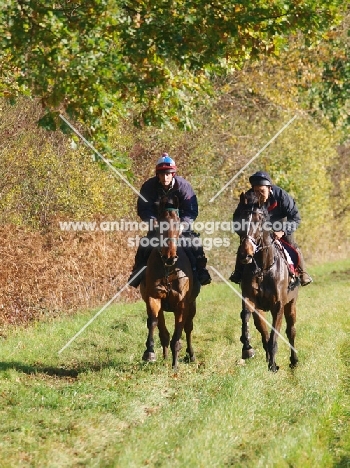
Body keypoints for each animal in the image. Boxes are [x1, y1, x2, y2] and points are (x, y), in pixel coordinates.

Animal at [140, 195, 200, 370]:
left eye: (178, 225)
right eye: (160, 226)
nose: (169, 257)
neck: (168, 269)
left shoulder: (182, 304)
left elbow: (179, 332)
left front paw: (175, 365)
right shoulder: (153, 298)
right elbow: (153, 322)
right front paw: (149, 353)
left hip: (192, 306)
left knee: (188, 328)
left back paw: (190, 355)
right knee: (163, 331)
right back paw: (165, 356)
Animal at [235, 192, 298, 372]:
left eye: (259, 220)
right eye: (240, 219)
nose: (245, 254)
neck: (264, 269)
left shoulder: (279, 306)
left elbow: (274, 336)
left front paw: (272, 365)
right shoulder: (250, 299)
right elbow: (246, 315)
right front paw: (247, 349)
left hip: (291, 303)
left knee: (291, 331)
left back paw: (293, 361)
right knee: (263, 331)